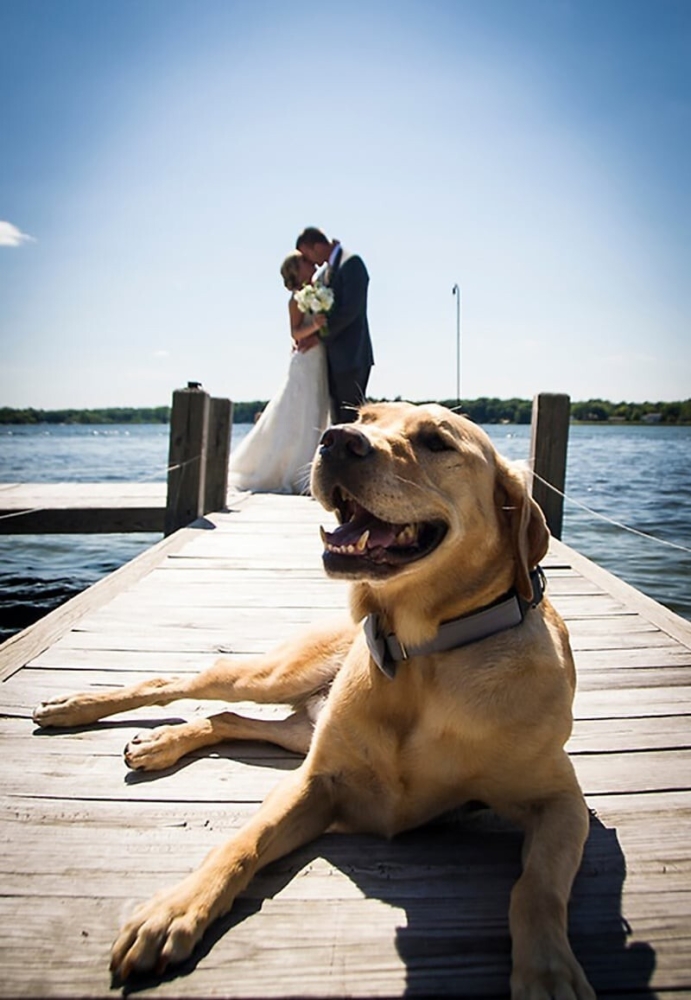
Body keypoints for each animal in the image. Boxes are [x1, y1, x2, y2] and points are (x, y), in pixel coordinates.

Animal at [33, 400, 596, 1000]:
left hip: (299, 729)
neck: (419, 656)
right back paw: (75, 708)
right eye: (366, 417)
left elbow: (536, 888)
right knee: (180, 684)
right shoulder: (314, 781)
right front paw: (174, 910)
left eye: (435, 441)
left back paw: (161, 741)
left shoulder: (561, 803)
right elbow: (243, 841)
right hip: (274, 678)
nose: (337, 439)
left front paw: (548, 970)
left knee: (227, 717)